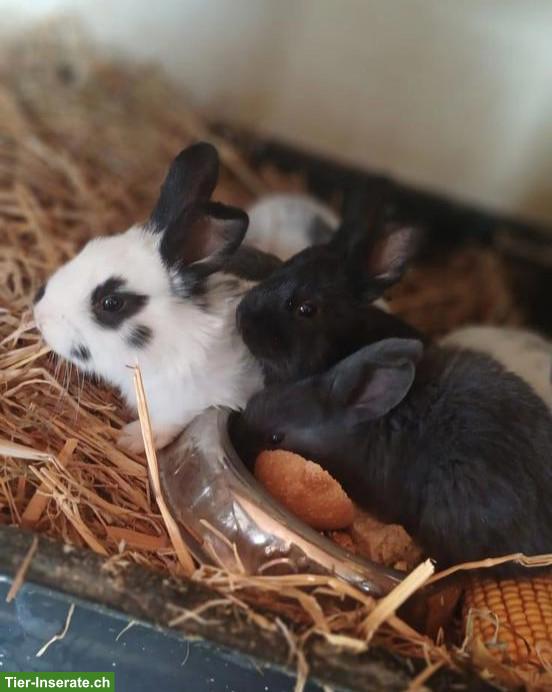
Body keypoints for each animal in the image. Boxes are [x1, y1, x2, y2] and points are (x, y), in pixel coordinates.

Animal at [33, 142, 281, 455]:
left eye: (111, 303)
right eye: (89, 246)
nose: (39, 315)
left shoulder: (191, 402)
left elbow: (165, 424)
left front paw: (130, 439)